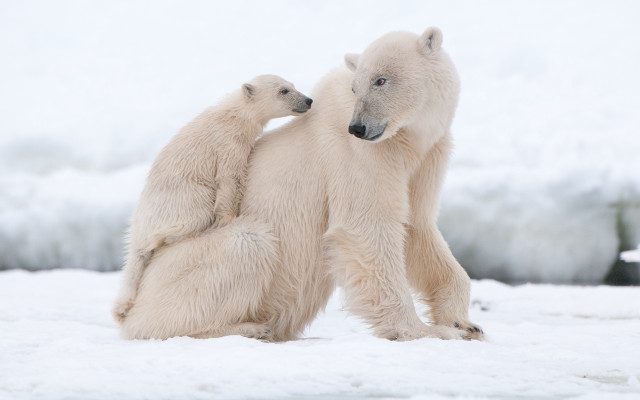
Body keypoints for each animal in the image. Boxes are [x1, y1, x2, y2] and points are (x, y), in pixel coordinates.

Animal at [112, 75, 313, 322]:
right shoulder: (228, 143)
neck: (234, 114)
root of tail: (139, 224)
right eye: (283, 90)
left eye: (293, 86)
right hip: (183, 199)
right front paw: (228, 218)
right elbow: (229, 178)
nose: (308, 100)